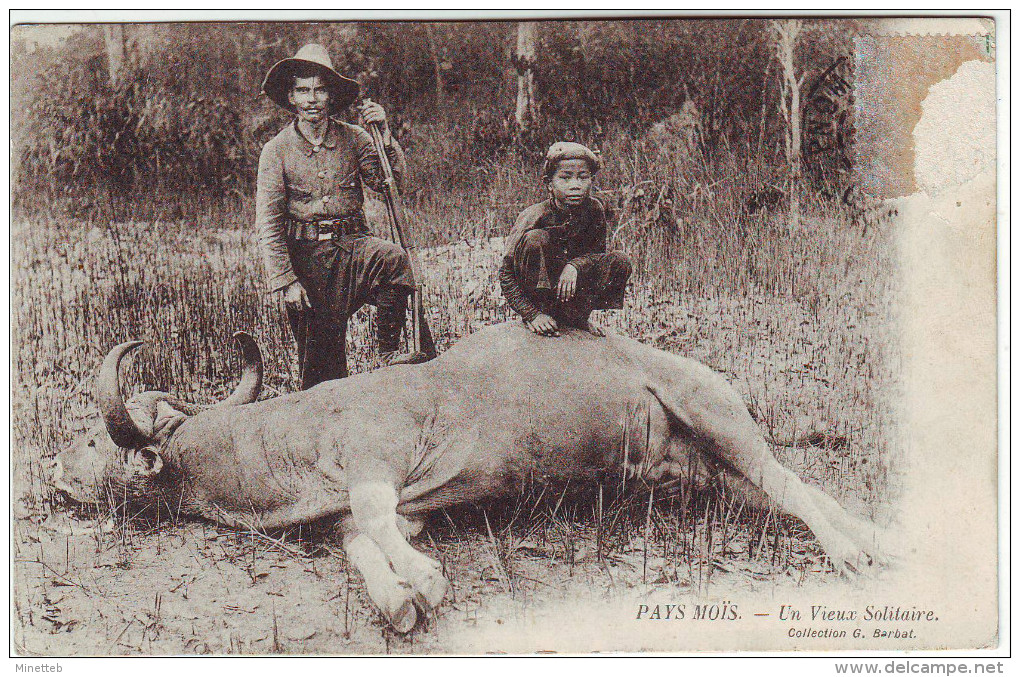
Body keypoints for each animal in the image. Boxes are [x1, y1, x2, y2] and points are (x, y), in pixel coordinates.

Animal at [51, 322, 889, 628]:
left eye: (95, 440)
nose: (54, 472)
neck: (293, 432)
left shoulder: (376, 468)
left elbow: (374, 523)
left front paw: (423, 578)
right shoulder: (384, 508)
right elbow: (359, 544)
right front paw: (399, 597)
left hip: (713, 411)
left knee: (789, 483)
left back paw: (854, 552)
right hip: (705, 469)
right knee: (792, 487)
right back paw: (874, 534)